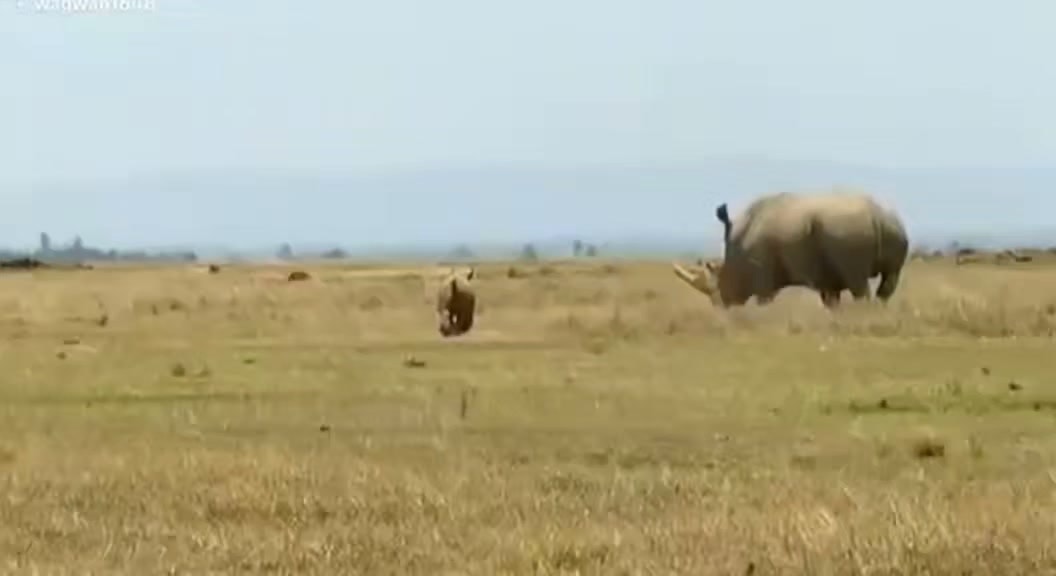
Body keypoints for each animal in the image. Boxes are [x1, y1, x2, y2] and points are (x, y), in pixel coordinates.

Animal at [672, 190, 909, 308]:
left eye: (718, 279)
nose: (722, 306)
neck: (735, 252)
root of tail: (877, 215)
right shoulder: (827, 276)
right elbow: (831, 300)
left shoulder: (762, 275)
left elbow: (763, 301)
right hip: (890, 226)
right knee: (889, 278)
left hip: (848, 231)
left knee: (858, 282)